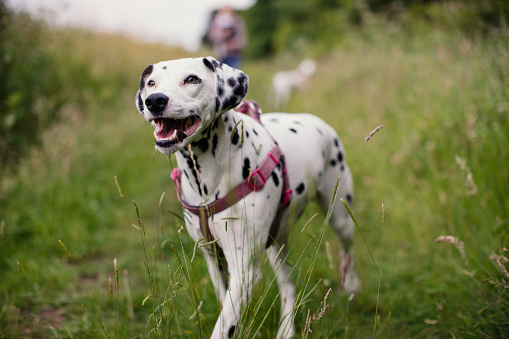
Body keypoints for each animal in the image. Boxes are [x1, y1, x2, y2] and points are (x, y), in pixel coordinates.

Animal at [135, 57, 358, 338]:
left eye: (192, 79)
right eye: (151, 83)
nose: (154, 100)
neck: (207, 180)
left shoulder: (244, 269)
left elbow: (223, 325)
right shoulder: (214, 260)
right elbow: (227, 310)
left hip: (340, 216)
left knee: (348, 251)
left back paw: (351, 284)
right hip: (276, 242)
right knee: (288, 285)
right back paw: (286, 329)